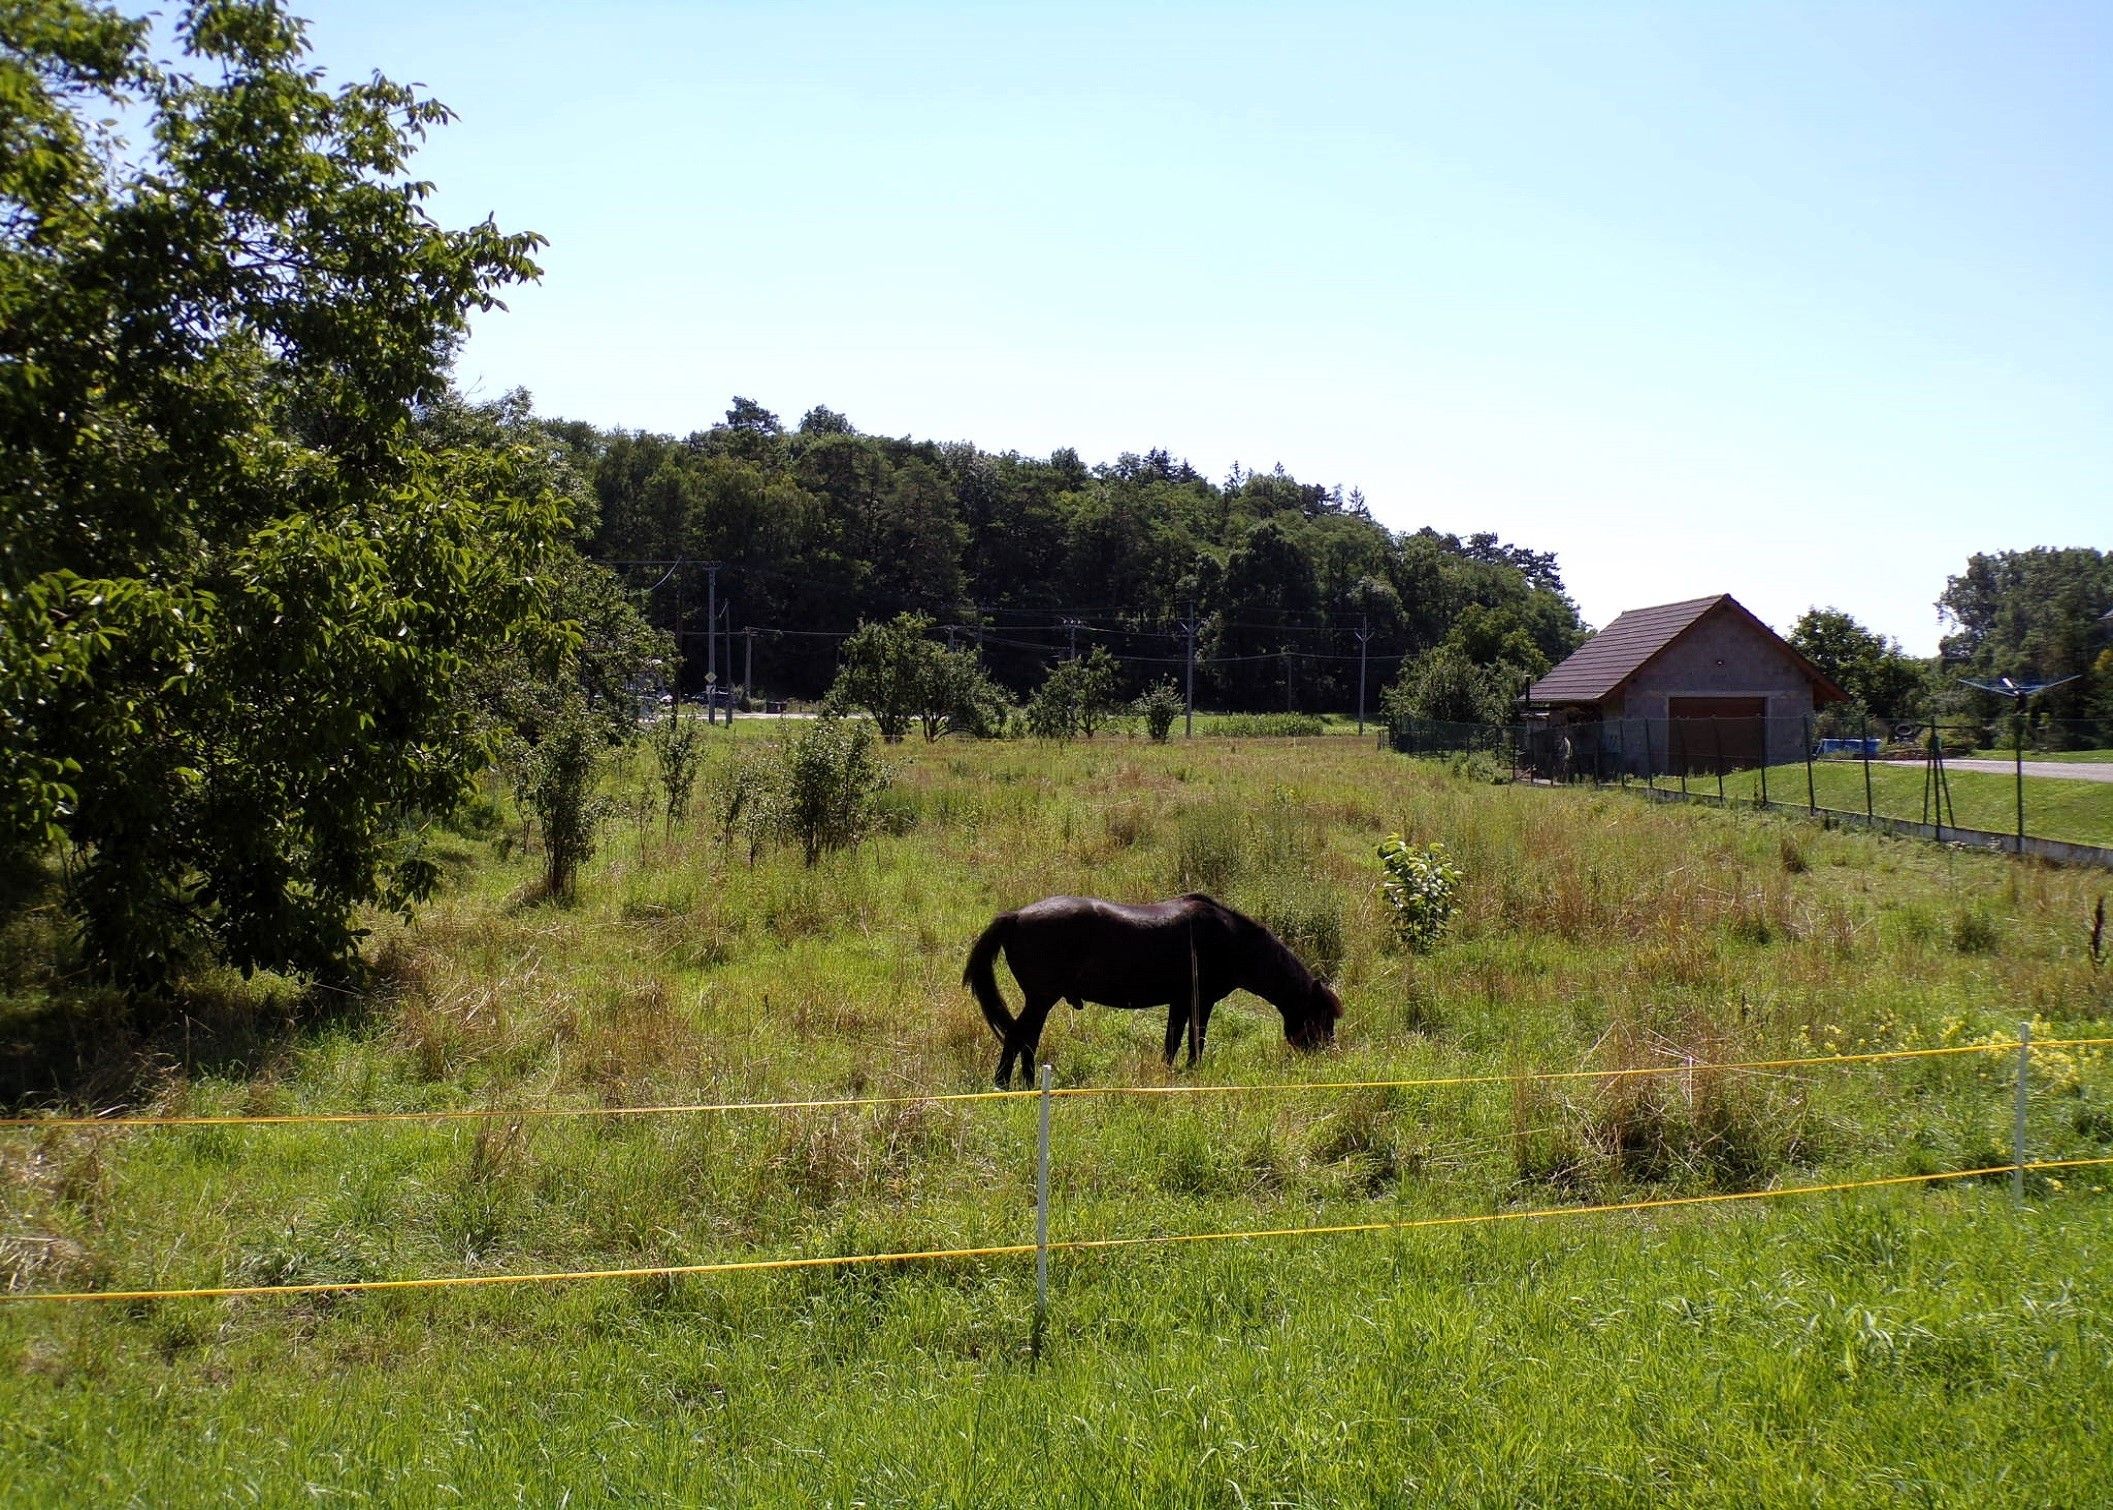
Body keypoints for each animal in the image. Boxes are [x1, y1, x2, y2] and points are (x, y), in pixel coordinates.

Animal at [962, 893, 1342, 1087]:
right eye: (1322, 1019)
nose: (1328, 1058)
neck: (1233, 942)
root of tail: (1014, 916)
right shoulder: (1201, 1001)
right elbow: (1196, 1040)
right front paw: (1193, 1072)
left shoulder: (1179, 1002)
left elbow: (1172, 1042)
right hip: (1041, 999)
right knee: (1018, 1037)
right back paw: (1004, 1085)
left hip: (1041, 1001)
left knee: (1026, 1039)